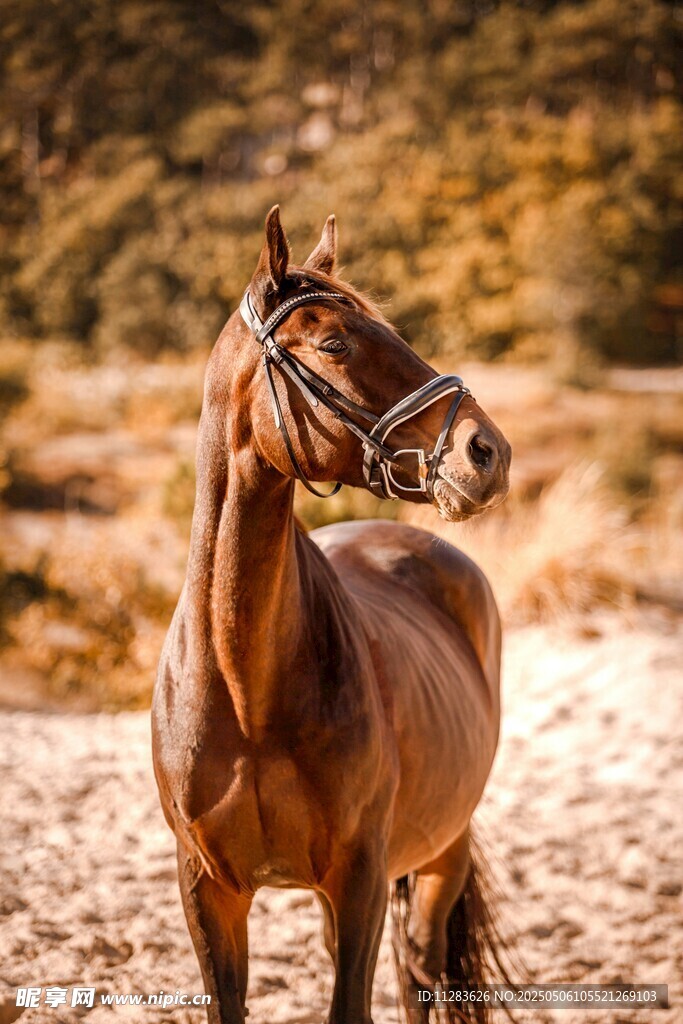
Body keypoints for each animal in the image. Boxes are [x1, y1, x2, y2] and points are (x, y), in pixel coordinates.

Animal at [152, 206, 512, 1024]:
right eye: (334, 344)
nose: (487, 453)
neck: (245, 687)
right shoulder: (209, 891)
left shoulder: (360, 880)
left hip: (442, 856)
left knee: (421, 975)